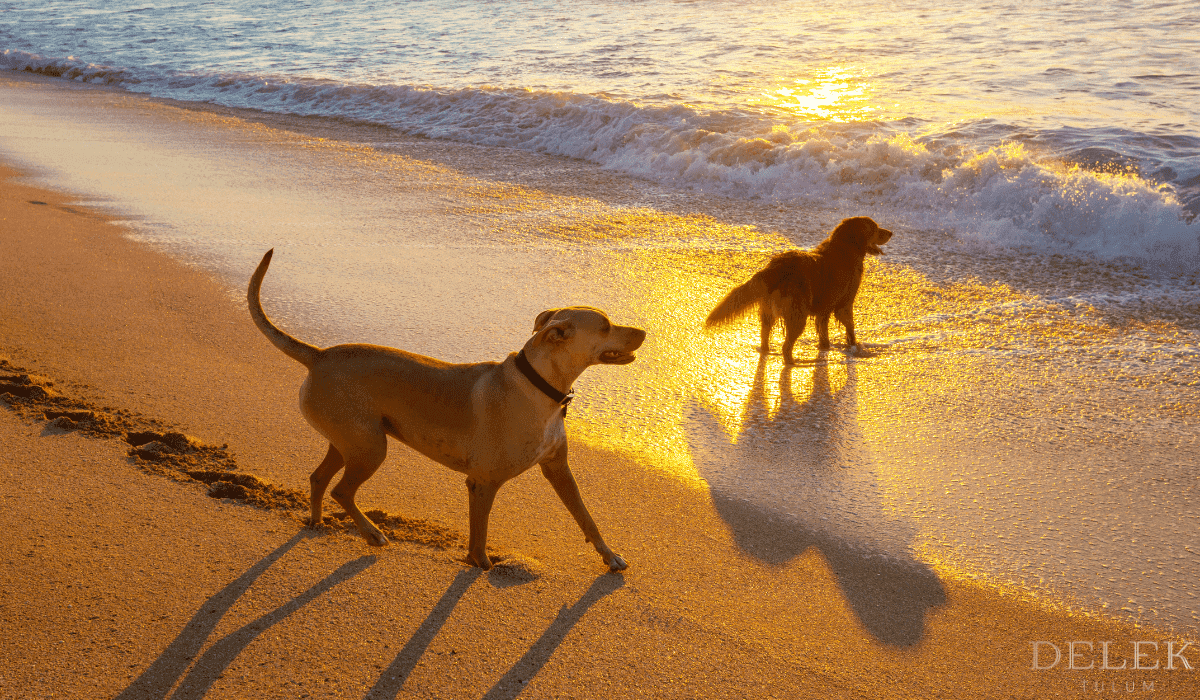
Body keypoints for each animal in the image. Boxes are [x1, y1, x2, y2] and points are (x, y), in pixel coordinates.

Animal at [246, 249, 648, 571]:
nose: (645, 332)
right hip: (370, 448)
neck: (538, 386)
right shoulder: (483, 483)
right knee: (341, 491)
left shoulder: (558, 469)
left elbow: (586, 517)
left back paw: (315, 521)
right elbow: (480, 532)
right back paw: (372, 533)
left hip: (351, 440)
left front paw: (610, 556)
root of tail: (319, 355)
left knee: (319, 479)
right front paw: (481, 564)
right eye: (606, 326)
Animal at [700, 216, 892, 365]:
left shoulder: (824, 309)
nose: (891, 232)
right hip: (798, 315)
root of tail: (774, 267)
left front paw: (825, 347)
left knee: (764, 336)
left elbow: (824, 332)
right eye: (875, 228)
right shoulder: (844, 305)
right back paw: (794, 362)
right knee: (786, 346)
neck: (846, 248)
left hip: (768, 311)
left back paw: (768, 352)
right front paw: (854, 346)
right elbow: (850, 327)